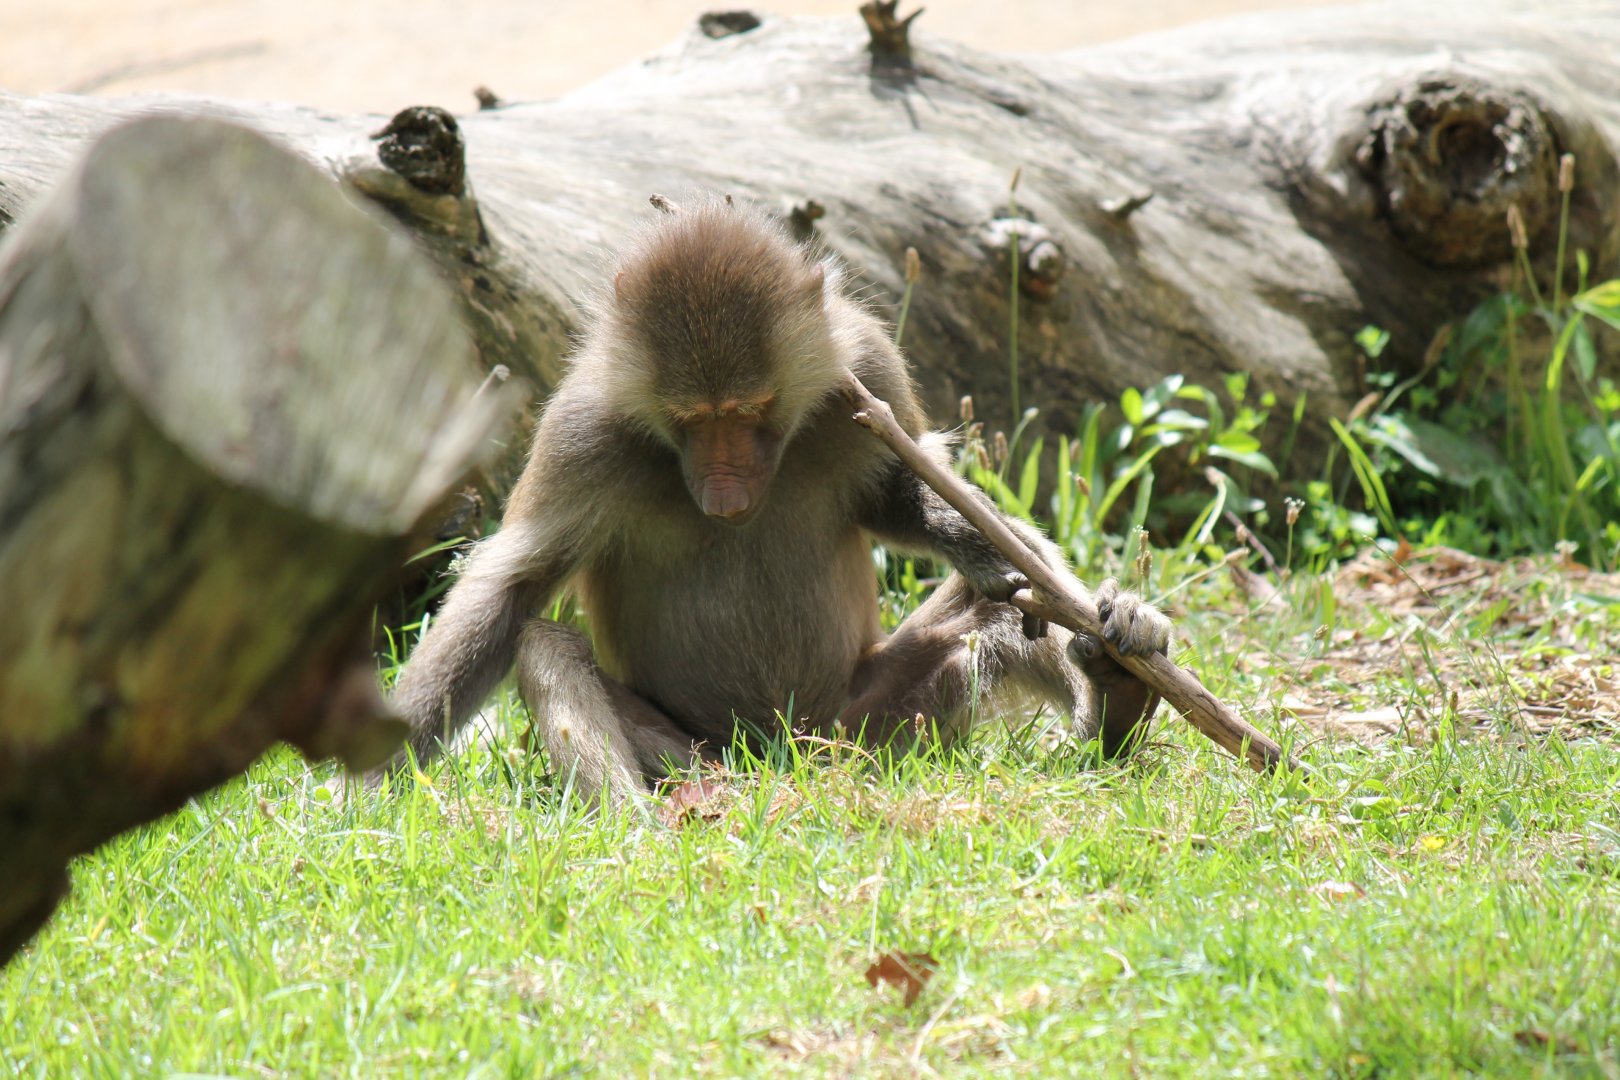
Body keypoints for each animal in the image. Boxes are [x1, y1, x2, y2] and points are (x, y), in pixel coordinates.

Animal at [378, 196, 1170, 803]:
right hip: (701, 755)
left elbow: (908, 496)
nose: (726, 495)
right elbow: (512, 588)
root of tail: (787, 760)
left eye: (748, 410)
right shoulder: (580, 433)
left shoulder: (866, 362)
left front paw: (963, 532)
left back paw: (1115, 699)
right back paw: (643, 825)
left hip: (873, 732)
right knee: (546, 646)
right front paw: (369, 775)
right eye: (693, 420)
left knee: (1008, 602)